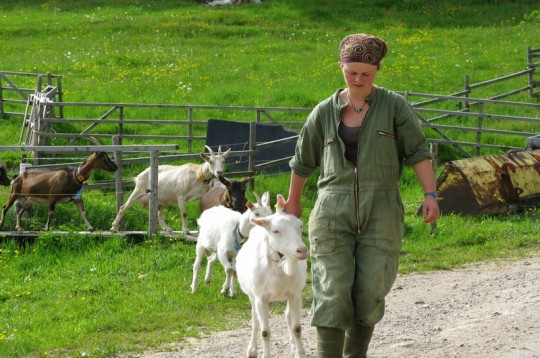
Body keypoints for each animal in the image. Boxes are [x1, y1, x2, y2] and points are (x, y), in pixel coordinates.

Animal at [236, 196, 308, 358]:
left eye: (300, 225)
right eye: (276, 231)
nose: (302, 250)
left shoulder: (295, 295)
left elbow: (297, 328)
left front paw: (300, 352)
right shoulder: (260, 298)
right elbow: (265, 332)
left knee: (288, 316)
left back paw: (293, 347)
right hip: (252, 296)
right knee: (255, 319)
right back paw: (252, 349)